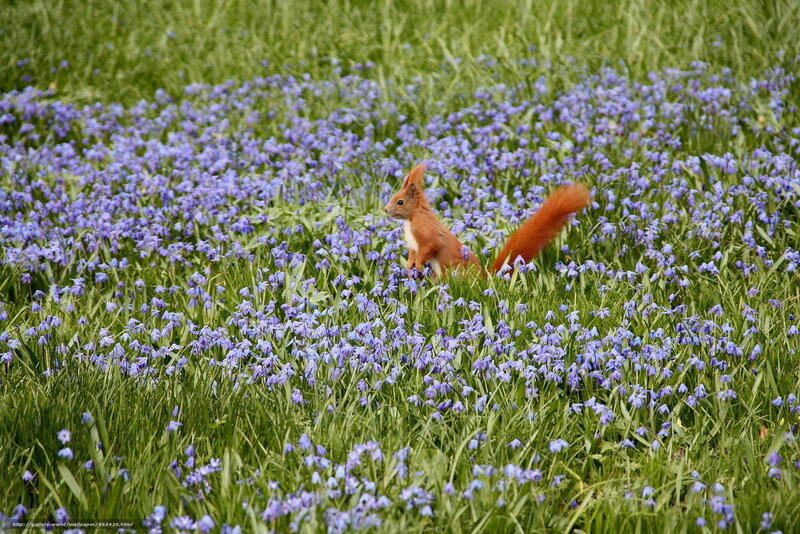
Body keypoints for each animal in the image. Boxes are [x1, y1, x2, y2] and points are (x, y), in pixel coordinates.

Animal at [383, 163, 591, 278]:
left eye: (400, 202)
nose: (385, 210)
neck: (412, 219)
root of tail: (483, 279)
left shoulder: (427, 235)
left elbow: (428, 249)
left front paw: (417, 266)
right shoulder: (413, 244)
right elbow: (412, 254)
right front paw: (410, 266)